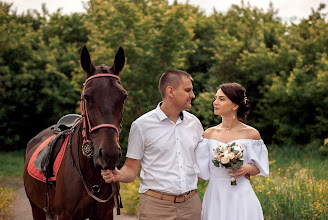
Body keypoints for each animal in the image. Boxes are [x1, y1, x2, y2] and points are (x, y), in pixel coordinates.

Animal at [23, 45, 127, 219]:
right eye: (87, 97)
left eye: (124, 97)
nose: (109, 154)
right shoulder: (65, 215)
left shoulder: (105, 214)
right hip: (36, 208)